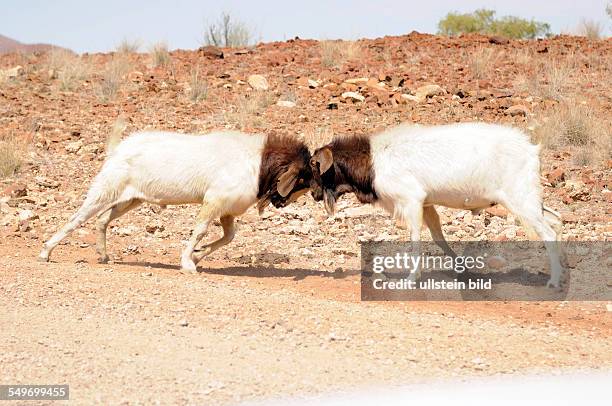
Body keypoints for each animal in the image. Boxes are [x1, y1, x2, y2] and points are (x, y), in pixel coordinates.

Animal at [39, 127, 310, 272]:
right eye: (302, 178)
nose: (283, 203)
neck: (258, 162)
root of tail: (118, 149)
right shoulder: (214, 201)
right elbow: (200, 231)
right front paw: (188, 262)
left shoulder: (226, 209)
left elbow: (229, 236)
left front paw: (198, 256)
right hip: (107, 188)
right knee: (78, 218)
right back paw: (45, 252)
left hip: (130, 199)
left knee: (102, 220)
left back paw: (104, 256)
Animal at [310, 122, 564, 288]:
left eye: (314, 164)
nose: (313, 194)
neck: (373, 161)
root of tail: (532, 150)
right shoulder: (426, 204)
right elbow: (438, 237)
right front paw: (463, 269)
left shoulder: (411, 200)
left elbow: (415, 240)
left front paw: (410, 280)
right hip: (530, 199)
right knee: (555, 221)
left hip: (520, 198)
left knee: (549, 233)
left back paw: (554, 281)